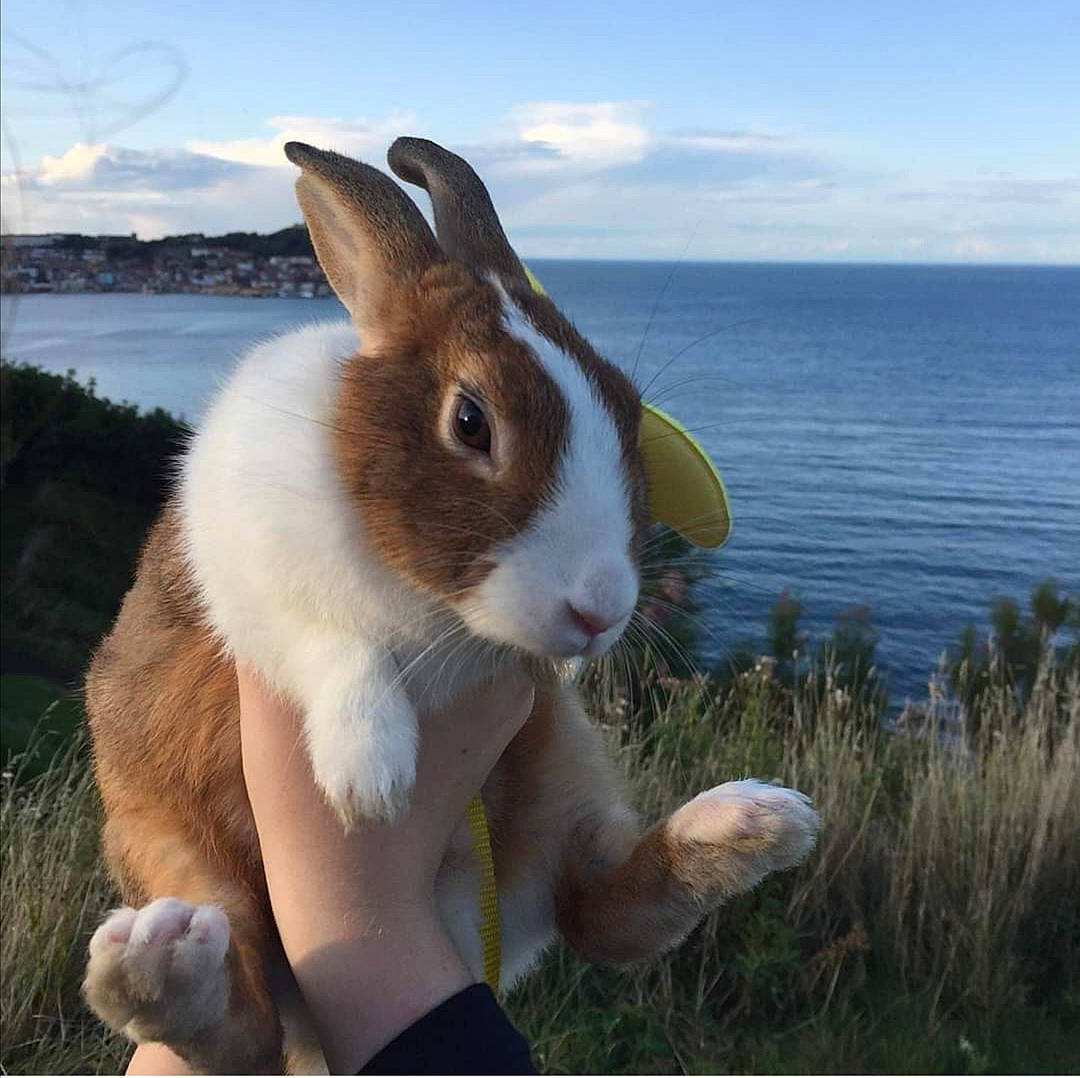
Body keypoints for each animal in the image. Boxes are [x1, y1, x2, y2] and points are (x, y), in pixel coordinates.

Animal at [82, 137, 820, 1074]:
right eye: (471, 422)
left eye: (625, 410)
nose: (599, 612)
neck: (438, 610)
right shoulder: (253, 582)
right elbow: (336, 645)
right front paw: (370, 780)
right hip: (167, 841)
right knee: (240, 1024)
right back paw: (160, 967)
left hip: (560, 781)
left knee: (602, 913)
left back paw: (754, 824)